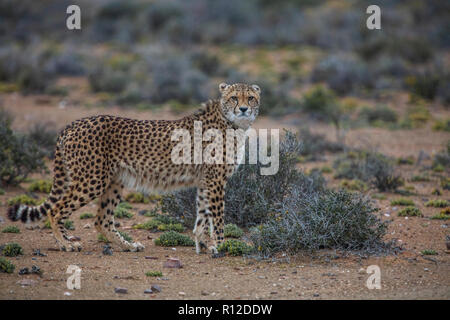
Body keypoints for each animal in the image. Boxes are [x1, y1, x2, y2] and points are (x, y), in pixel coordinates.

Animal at [6, 82, 260, 255]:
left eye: (251, 97)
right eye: (234, 98)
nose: (244, 109)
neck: (232, 123)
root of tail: (73, 124)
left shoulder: (206, 181)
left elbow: (203, 214)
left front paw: (203, 244)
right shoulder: (215, 181)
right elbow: (217, 217)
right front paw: (222, 245)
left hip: (114, 181)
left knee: (102, 220)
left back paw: (128, 245)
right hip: (92, 180)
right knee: (56, 209)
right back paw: (65, 244)